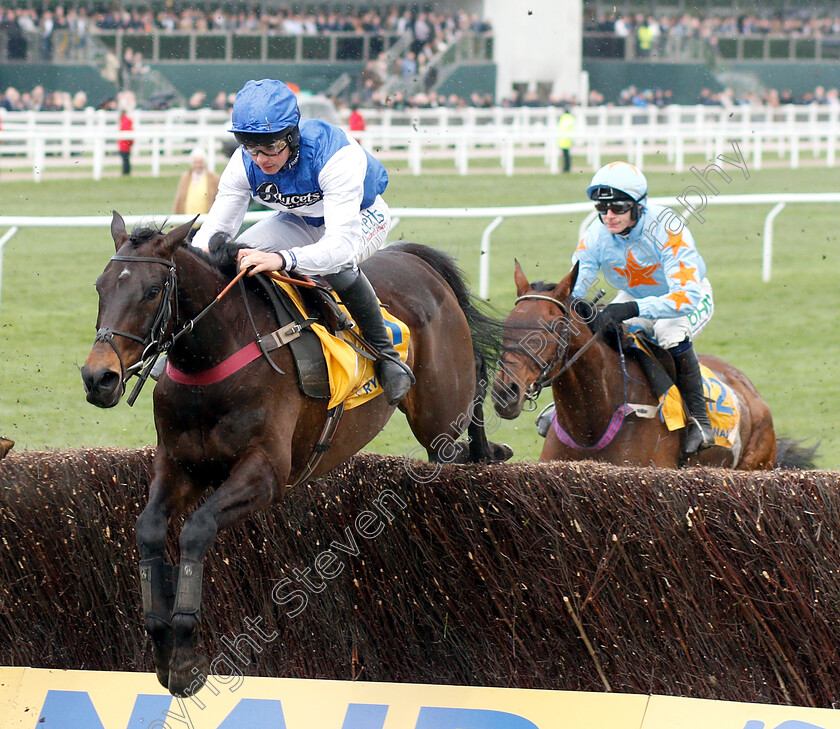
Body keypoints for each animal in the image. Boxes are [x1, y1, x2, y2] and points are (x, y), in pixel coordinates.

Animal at [82, 210, 508, 692]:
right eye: (100, 286)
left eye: (152, 291)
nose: (98, 378)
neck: (215, 359)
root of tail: (416, 261)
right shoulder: (178, 464)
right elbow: (149, 529)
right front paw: (161, 642)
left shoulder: (267, 474)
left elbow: (196, 530)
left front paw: (187, 654)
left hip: (440, 411)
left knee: (468, 397)